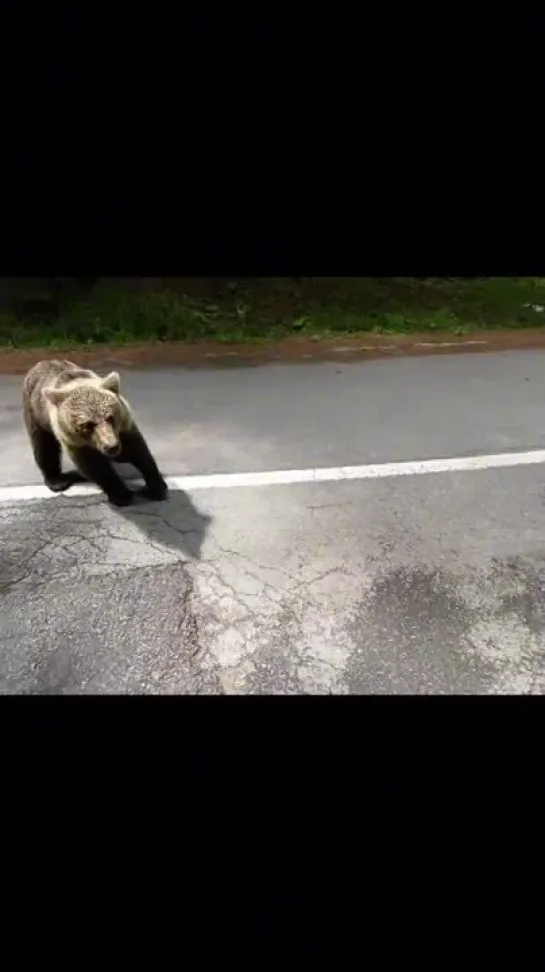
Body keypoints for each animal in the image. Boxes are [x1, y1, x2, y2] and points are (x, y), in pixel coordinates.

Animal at [21, 358, 167, 508]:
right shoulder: (73, 440)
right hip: (35, 413)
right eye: (87, 424)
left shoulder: (124, 427)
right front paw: (122, 494)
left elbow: (139, 451)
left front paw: (155, 487)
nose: (111, 446)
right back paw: (57, 481)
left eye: (110, 417)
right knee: (44, 446)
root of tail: (42, 362)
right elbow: (95, 466)